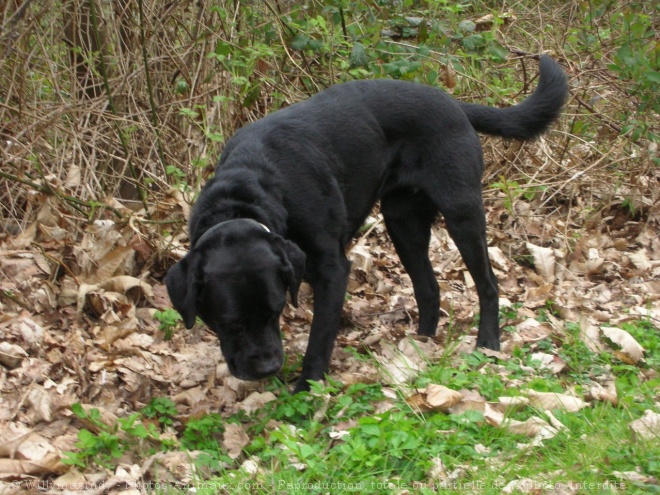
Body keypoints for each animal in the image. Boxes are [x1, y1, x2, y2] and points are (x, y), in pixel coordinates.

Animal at [164, 56, 568, 394]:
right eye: (228, 322)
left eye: (274, 311)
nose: (267, 368)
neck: (247, 190)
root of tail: (453, 102)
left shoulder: (331, 269)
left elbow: (320, 336)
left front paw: (306, 389)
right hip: (403, 222)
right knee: (428, 287)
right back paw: (420, 346)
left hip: (461, 210)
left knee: (488, 284)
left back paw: (487, 344)